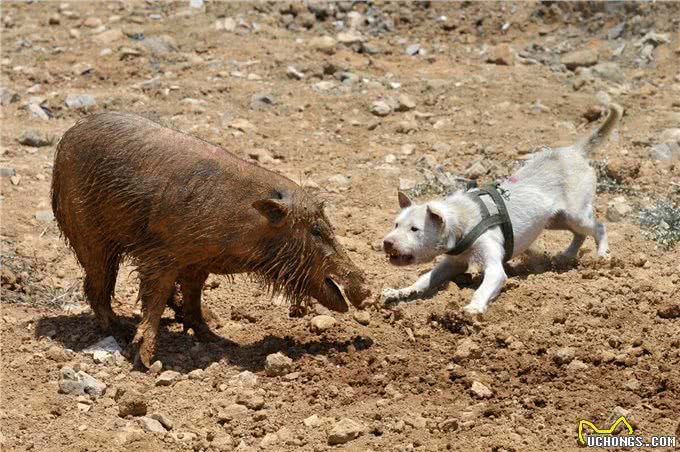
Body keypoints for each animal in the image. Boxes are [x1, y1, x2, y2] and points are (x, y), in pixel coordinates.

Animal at [382, 103, 620, 314]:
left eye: (415, 229)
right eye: (395, 225)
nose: (387, 243)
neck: (463, 220)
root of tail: (573, 151)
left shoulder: (494, 266)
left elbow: (485, 286)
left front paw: (474, 308)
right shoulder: (453, 262)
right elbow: (424, 279)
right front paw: (400, 292)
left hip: (575, 214)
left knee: (598, 226)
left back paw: (602, 255)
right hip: (554, 220)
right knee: (579, 234)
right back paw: (567, 255)